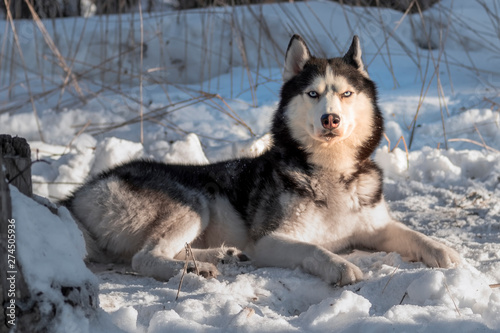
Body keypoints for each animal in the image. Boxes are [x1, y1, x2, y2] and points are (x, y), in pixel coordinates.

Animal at [62, 35, 460, 284]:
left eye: (346, 94)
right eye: (313, 94)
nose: (331, 119)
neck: (329, 170)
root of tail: (77, 195)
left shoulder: (376, 227)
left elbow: (413, 234)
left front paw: (445, 251)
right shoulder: (270, 240)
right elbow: (315, 248)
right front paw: (339, 265)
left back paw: (219, 256)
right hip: (192, 203)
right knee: (142, 257)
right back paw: (192, 270)